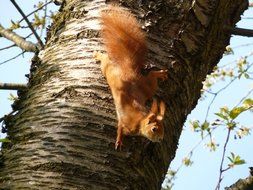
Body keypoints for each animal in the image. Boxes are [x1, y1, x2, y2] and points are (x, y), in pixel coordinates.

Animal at [93, 4, 168, 150]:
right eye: (154, 129)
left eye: (163, 128)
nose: (161, 139)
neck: (140, 120)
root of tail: (127, 71)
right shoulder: (125, 122)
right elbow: (120, 128)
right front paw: (119, 141)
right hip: (109, 71)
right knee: (106, 60)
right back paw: (98, 55)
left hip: (147, 88)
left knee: (151, 76)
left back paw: (160, 73)